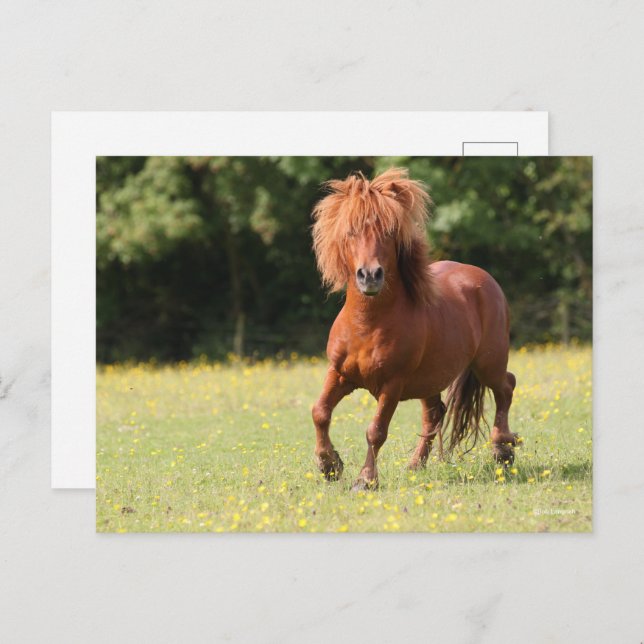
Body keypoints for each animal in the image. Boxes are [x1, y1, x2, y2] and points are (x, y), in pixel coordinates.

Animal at [310, 167, 518, 491]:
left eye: (388, 232)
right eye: (350, 232)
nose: (370, 275)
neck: (367, 324)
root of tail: (485, 279)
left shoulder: (392, 384)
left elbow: (376, 430)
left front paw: (365, 480)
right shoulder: (340, 373)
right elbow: (320, 413)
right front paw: (329, 465)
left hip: (488, 363)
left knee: (506, 387)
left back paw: (503, 450)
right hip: (430, 379)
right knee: (435, 414)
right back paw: (415, 465)